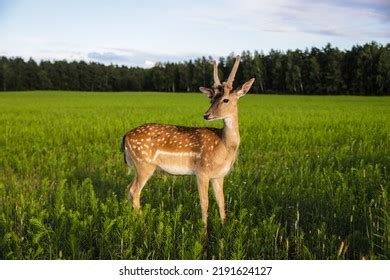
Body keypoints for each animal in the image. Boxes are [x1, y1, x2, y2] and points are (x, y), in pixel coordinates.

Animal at [122, 55, 256, 230]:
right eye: (211, 99)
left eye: (225, 99)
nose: (206, 115)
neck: (224, 147)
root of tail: (125, 137)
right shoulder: (202, 171)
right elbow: (204, 204)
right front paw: (204, 233)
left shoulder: (219, 175)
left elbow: (221, 203)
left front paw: (224, 229)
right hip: (144, 164)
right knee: (134, 191)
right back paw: (142, 225)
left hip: (139, 166)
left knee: (128, 189)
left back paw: (131, 220)